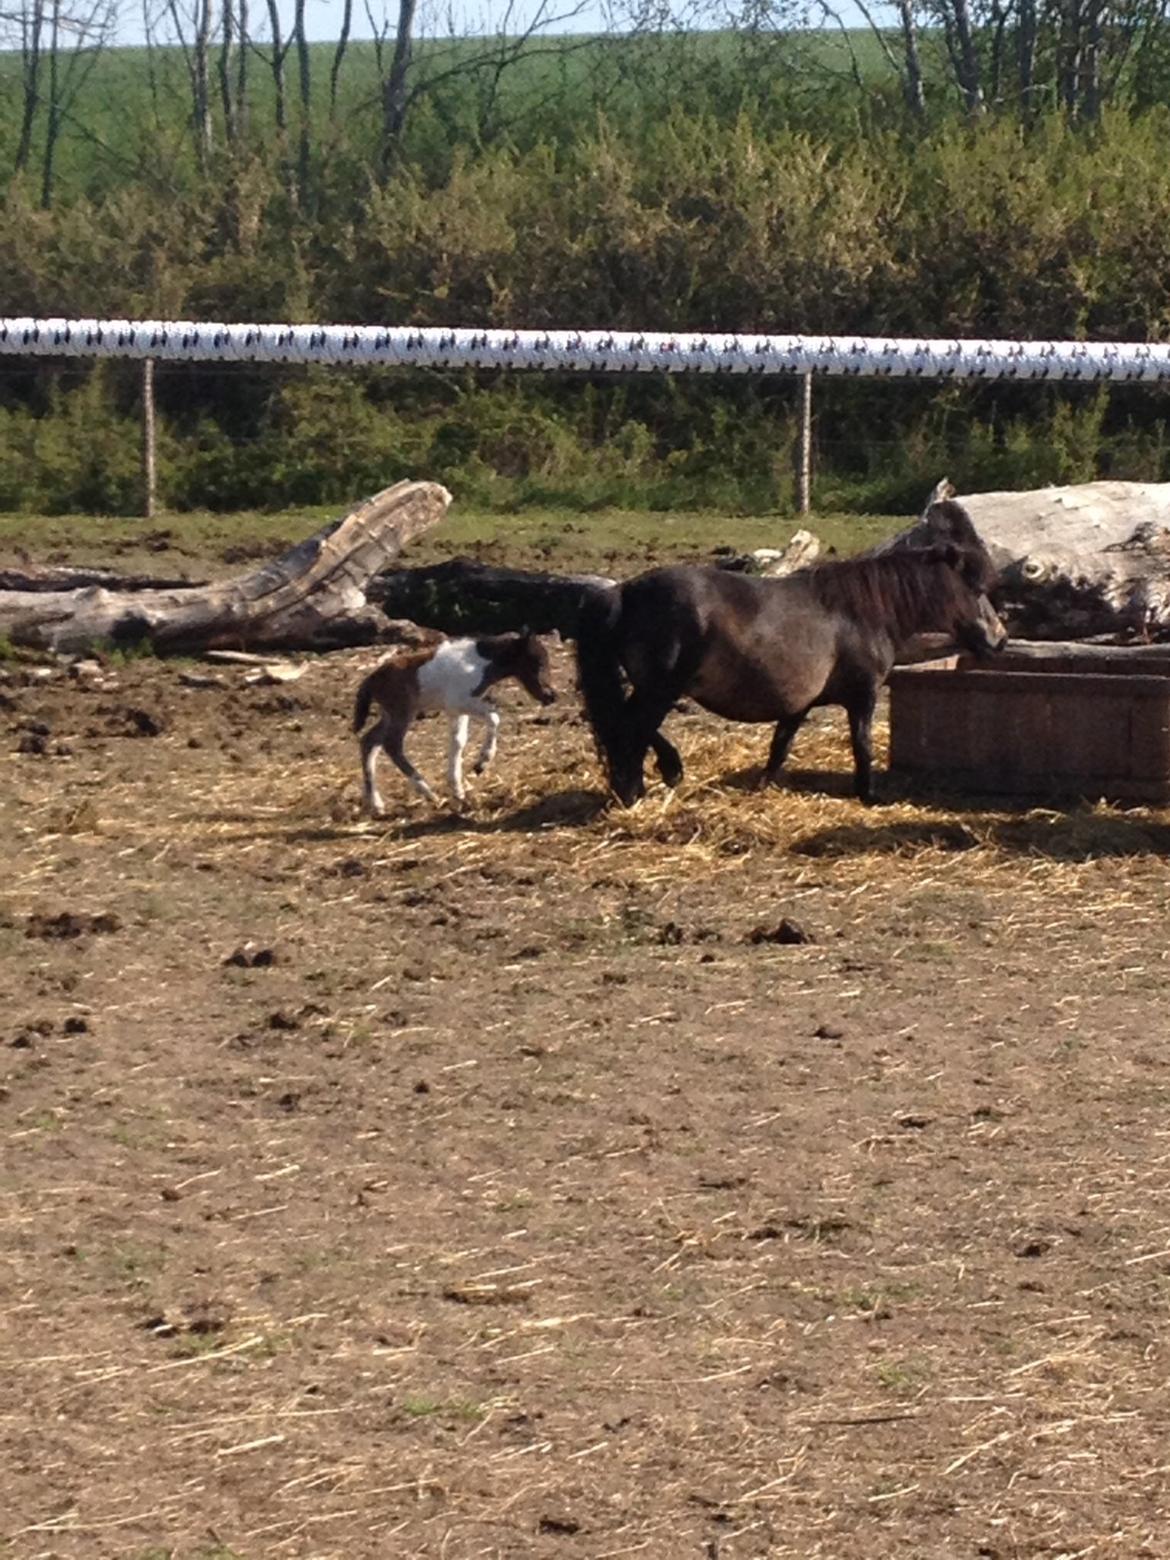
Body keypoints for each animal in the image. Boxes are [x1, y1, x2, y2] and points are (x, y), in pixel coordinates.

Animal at [351, 630, 555, 817]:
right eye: (537, 662)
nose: (551, 696)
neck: (478, 663)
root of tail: (370, 679)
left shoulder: (457, 711)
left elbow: (458, 742)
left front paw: (458, 791)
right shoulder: (460, 702)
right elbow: (494, 717)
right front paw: (482, 763)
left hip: (389, 715)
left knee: (369, 741)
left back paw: (376, 804)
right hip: (402, 713)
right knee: (391, 745)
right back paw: (427, 792)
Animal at [577, 542, 1010, 804]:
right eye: (974, 589)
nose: (1001, 639)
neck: (861, 613)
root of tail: (624, 592)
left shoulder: (799, 705)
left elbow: (779, 748)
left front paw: (762, 787)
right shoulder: (863, 696)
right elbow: (863, 745)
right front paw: (867, 794)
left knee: (626, 727)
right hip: (660, 690)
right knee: (632, 728)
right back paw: (646, 783)